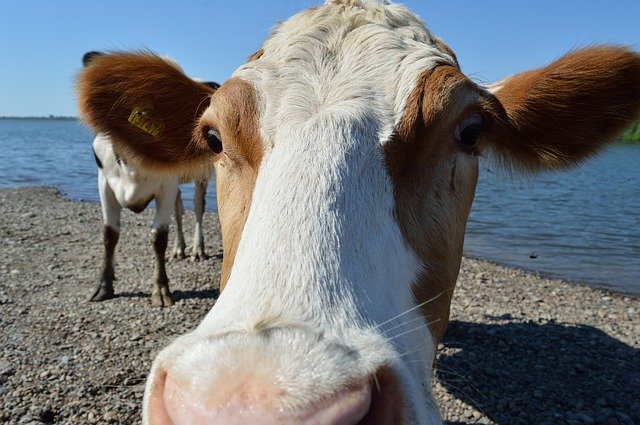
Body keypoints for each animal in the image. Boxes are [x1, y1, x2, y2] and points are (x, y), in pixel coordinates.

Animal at [82, 51, 219, 306]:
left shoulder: (166, 186)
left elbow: (158, 237)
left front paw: (161, 289)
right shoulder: (104, 182)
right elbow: (109, 234)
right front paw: (104, 285)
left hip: (203, 175)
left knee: (198, 207)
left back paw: (197, 249)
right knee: (179, 210)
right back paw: (179, 249)